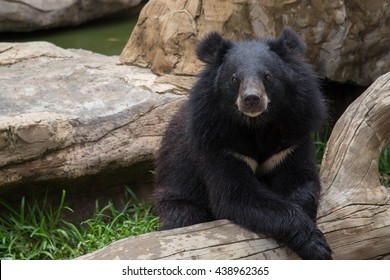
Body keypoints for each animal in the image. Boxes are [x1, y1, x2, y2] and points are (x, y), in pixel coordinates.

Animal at [154, 29, 330, 260]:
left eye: (267, 76)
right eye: (234, 78)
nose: (252, 99)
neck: (256, 125)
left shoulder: (291, 140)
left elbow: (302, 182)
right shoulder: (221, 145)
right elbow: (237, 195)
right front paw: (317, 246)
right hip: (177, 194)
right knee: (185, 216)